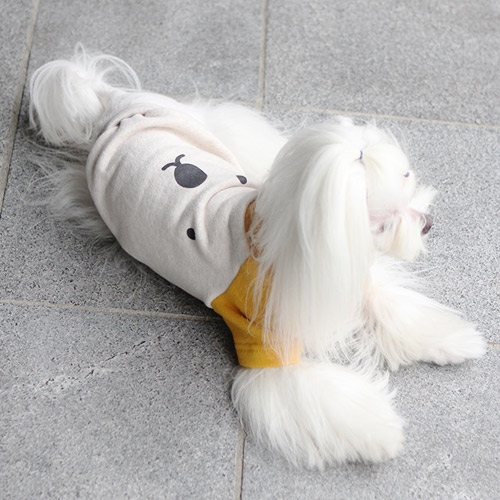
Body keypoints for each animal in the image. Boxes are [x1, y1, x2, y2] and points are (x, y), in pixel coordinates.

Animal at [29, 46, 486, 469]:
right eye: (384, 224)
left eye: (408, 178)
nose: (428, 223)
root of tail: (110, 103)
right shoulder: (265, 335)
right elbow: (310, 392)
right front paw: (382, 434)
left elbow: (389, 304)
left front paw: (454, 340)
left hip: (203, 124)